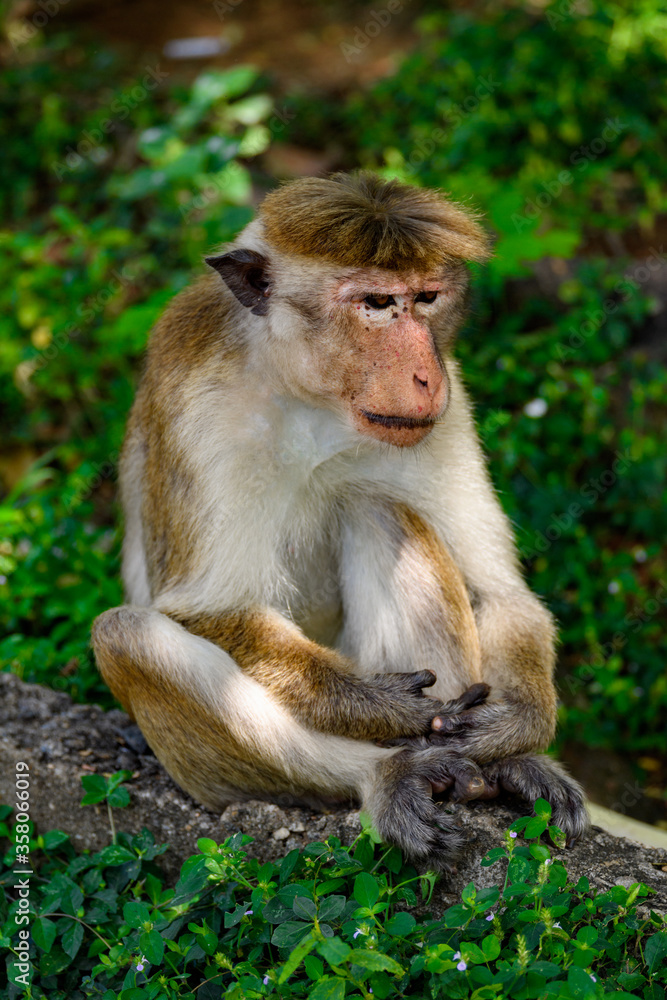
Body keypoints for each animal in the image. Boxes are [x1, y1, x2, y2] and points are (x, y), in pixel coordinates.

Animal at [92, 173, 587, 869]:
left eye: (426, 297)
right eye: (377, 303)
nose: (424, 375)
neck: (314, 398)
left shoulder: (448, 410)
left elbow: (500, 592)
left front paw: (513, 728)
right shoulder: (200, 406)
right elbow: (208, 609)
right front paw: (381, 707)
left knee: (378, 510)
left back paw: (493, 769)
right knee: (127, 635)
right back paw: (393, 771)